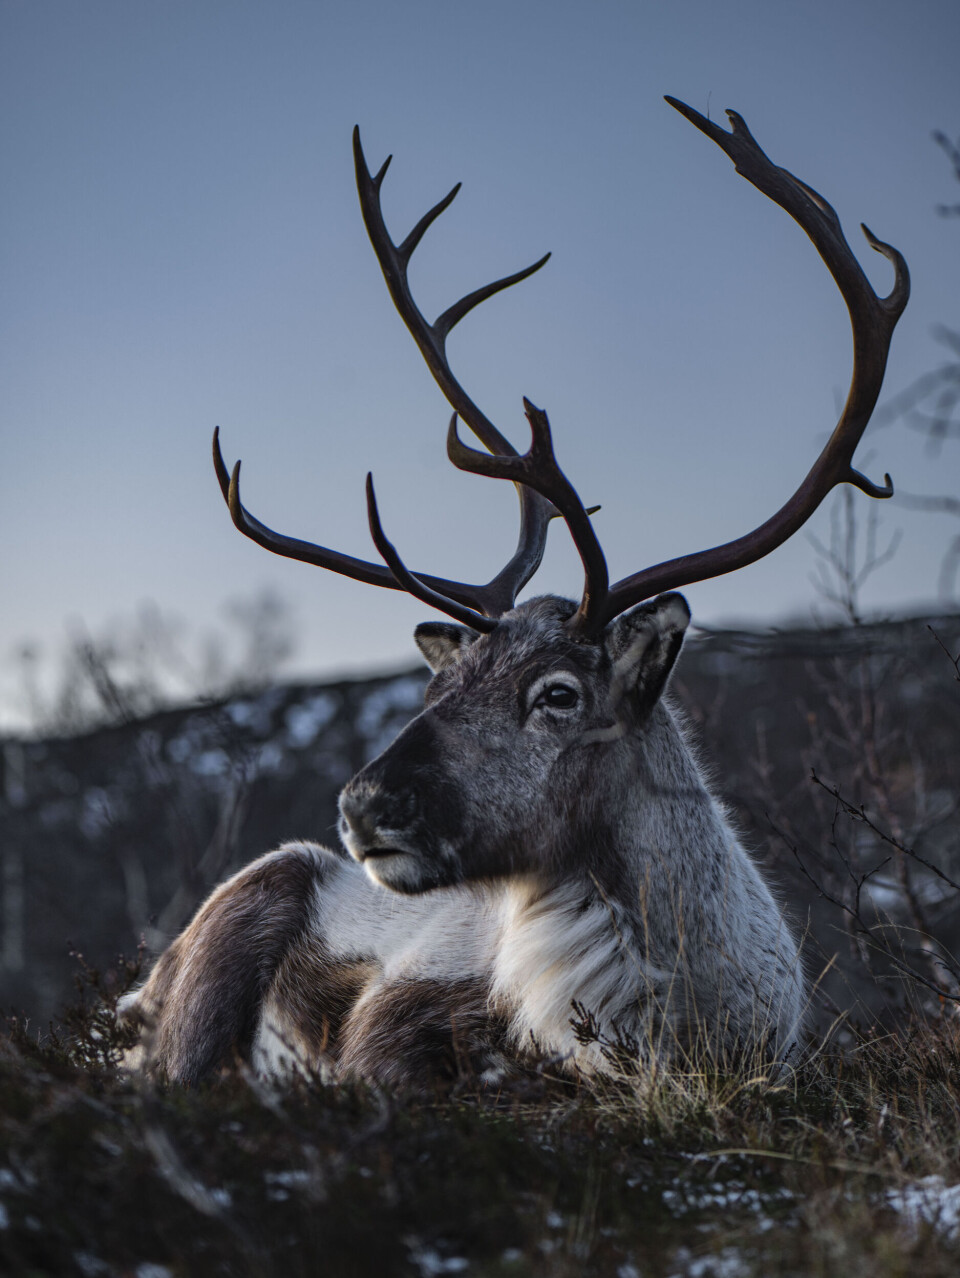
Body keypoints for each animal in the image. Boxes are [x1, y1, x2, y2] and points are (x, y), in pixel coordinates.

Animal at [119, 97, 908, 1088]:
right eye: (441, 684)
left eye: (558, 695)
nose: (365, 804)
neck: (670, 1006)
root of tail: (134, 994)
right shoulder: (390, 1028)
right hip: (230, 937)